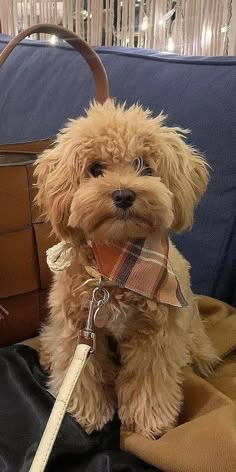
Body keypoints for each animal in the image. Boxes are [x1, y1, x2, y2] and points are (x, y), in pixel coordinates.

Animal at [34, 100, 217, 438]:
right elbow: (83, 374)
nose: (123, 194)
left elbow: (149, 380)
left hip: (191, 332)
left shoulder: (156, 336)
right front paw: (87, 413)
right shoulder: (78, 330)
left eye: (144, 165)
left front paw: (149, 422)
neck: (118, 265)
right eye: (95, 169)